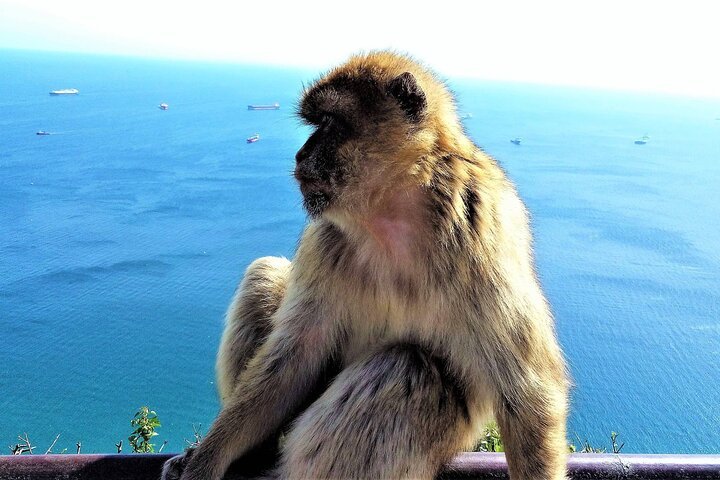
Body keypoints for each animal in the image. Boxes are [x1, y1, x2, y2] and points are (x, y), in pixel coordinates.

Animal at [162, 50, 569, 480]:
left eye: (329, 123)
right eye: (317, 123)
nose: (300, 155)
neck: (391, 213)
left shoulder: (480, 232)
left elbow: (526, 391)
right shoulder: (325, 240)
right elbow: (294, 359)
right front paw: (206, 461)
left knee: (407, 369)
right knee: (266, 272)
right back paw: (254, 455)